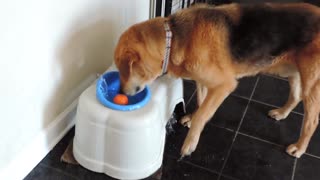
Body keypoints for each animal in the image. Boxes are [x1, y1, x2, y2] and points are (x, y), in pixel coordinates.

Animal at [113, 2, 320, 158]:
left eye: (123, 70)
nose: (121, 93)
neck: (174, 39)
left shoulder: (223, 86)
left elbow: (202, 115)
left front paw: (190, 142)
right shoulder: (203, 82)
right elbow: (201, 102)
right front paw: (193, 117)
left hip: (311, 85)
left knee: (311, 120)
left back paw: (299, 147)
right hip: (291, 73)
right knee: (296, 96)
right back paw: (282, 113)